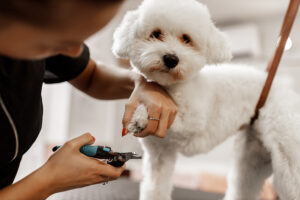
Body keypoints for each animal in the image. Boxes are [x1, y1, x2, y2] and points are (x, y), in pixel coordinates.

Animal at [112, 0, 300, 200]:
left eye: (186, 39)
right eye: (155, 34)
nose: (171, 59)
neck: (173, 88)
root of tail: (280, 87)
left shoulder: (193, 121)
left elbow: (177, 119)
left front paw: (140, 116)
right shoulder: (160, 154)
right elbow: (155, 187)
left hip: (287, 152)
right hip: (253, 156)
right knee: (244, 184)